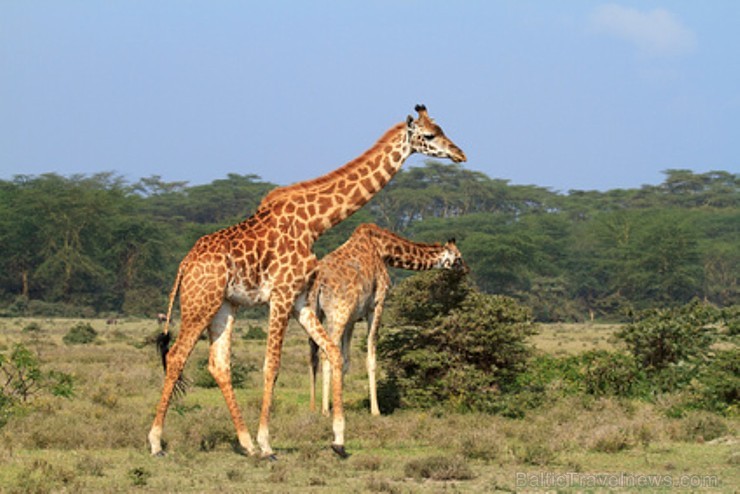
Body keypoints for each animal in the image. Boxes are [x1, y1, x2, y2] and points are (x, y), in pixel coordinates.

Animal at [304, 224, 466, 416]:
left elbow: (345, 360)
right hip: (337, 315)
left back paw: (314, 407)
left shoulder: (352, 318)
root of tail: (318, 283)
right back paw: (325, 411)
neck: (384, 250)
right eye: (459, 257)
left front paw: (339, 402)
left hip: (317, 313)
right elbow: (371, 357)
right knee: (326, 353)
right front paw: (375, 410)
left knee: (313, 356)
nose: (466, 270)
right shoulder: (377, 304)